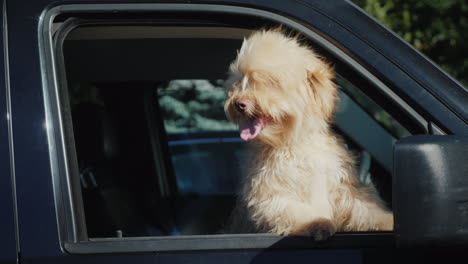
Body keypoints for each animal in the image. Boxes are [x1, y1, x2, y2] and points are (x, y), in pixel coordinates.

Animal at [225, 28, 394, 239]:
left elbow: (363, 208)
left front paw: (388, 220)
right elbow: (295, 210)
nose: (239, 103)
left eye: (270, 81)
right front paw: (318, 223)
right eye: (241, 81)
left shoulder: (342, 188)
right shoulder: (270, 195)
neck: (294, 143)